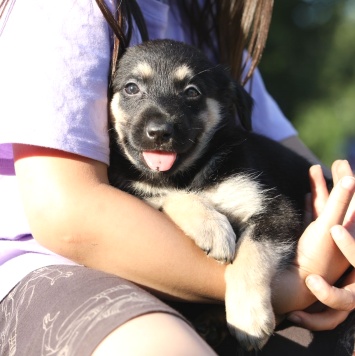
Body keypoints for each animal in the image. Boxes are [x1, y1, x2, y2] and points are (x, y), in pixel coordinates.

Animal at [108, 39, 314, 350]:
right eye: (131, 88)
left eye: (192, 92)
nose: (159, 132)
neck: (189, 174)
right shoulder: (142, 189)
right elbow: (173, 196)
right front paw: (213, 227)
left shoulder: (278, 209)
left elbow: (252, 253)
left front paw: (248, 316)